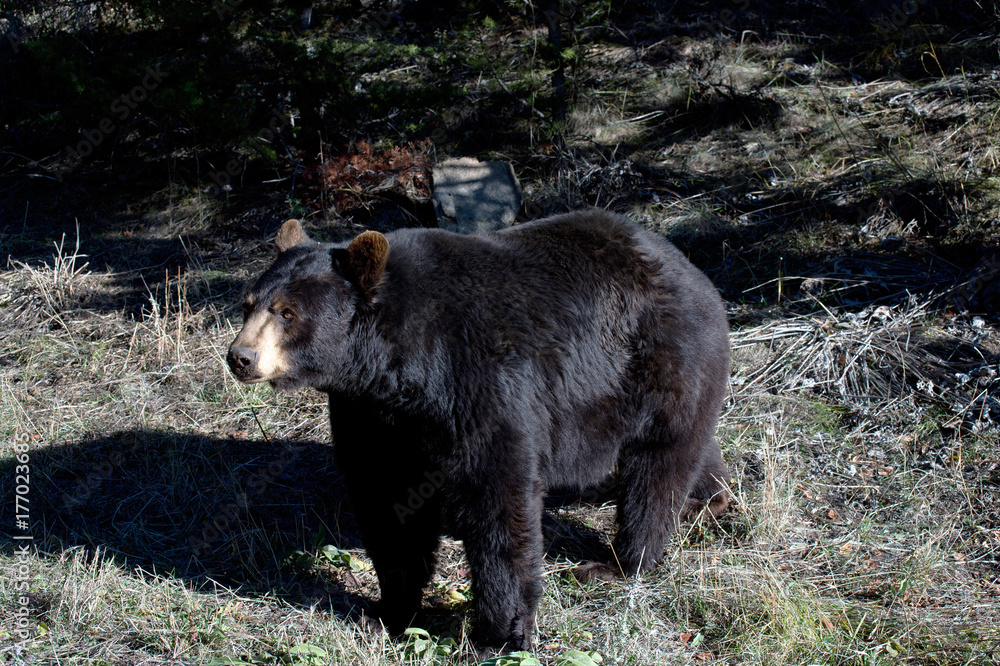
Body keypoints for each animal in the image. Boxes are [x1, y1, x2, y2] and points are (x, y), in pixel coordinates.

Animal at [226, 209, 730, 651]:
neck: (395, 367)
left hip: (661, 361)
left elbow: (498, 499)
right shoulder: (373, 416)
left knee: (656, 467)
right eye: (248, 304)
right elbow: (387, 500)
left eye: (287, 312)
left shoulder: (479, 385)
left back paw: (621, 562)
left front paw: (499, 633)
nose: (240, 357)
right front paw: (389, 610)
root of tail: (694, 272)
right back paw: (710, 500)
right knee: (691, 448)